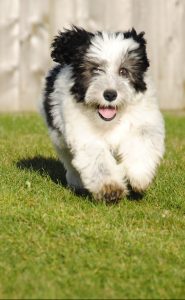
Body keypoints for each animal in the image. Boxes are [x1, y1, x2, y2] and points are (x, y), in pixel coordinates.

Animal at [40, 26, 165, 204]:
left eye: (123, 71)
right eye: (95, 70)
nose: (110, 94)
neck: (110, 121)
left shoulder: (144, 120)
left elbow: (142, 141)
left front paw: (139, 175)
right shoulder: (84, 133)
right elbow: (98, 158)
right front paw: (110, 188)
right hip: (59, 138)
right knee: (69, 161)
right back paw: (76, 182)